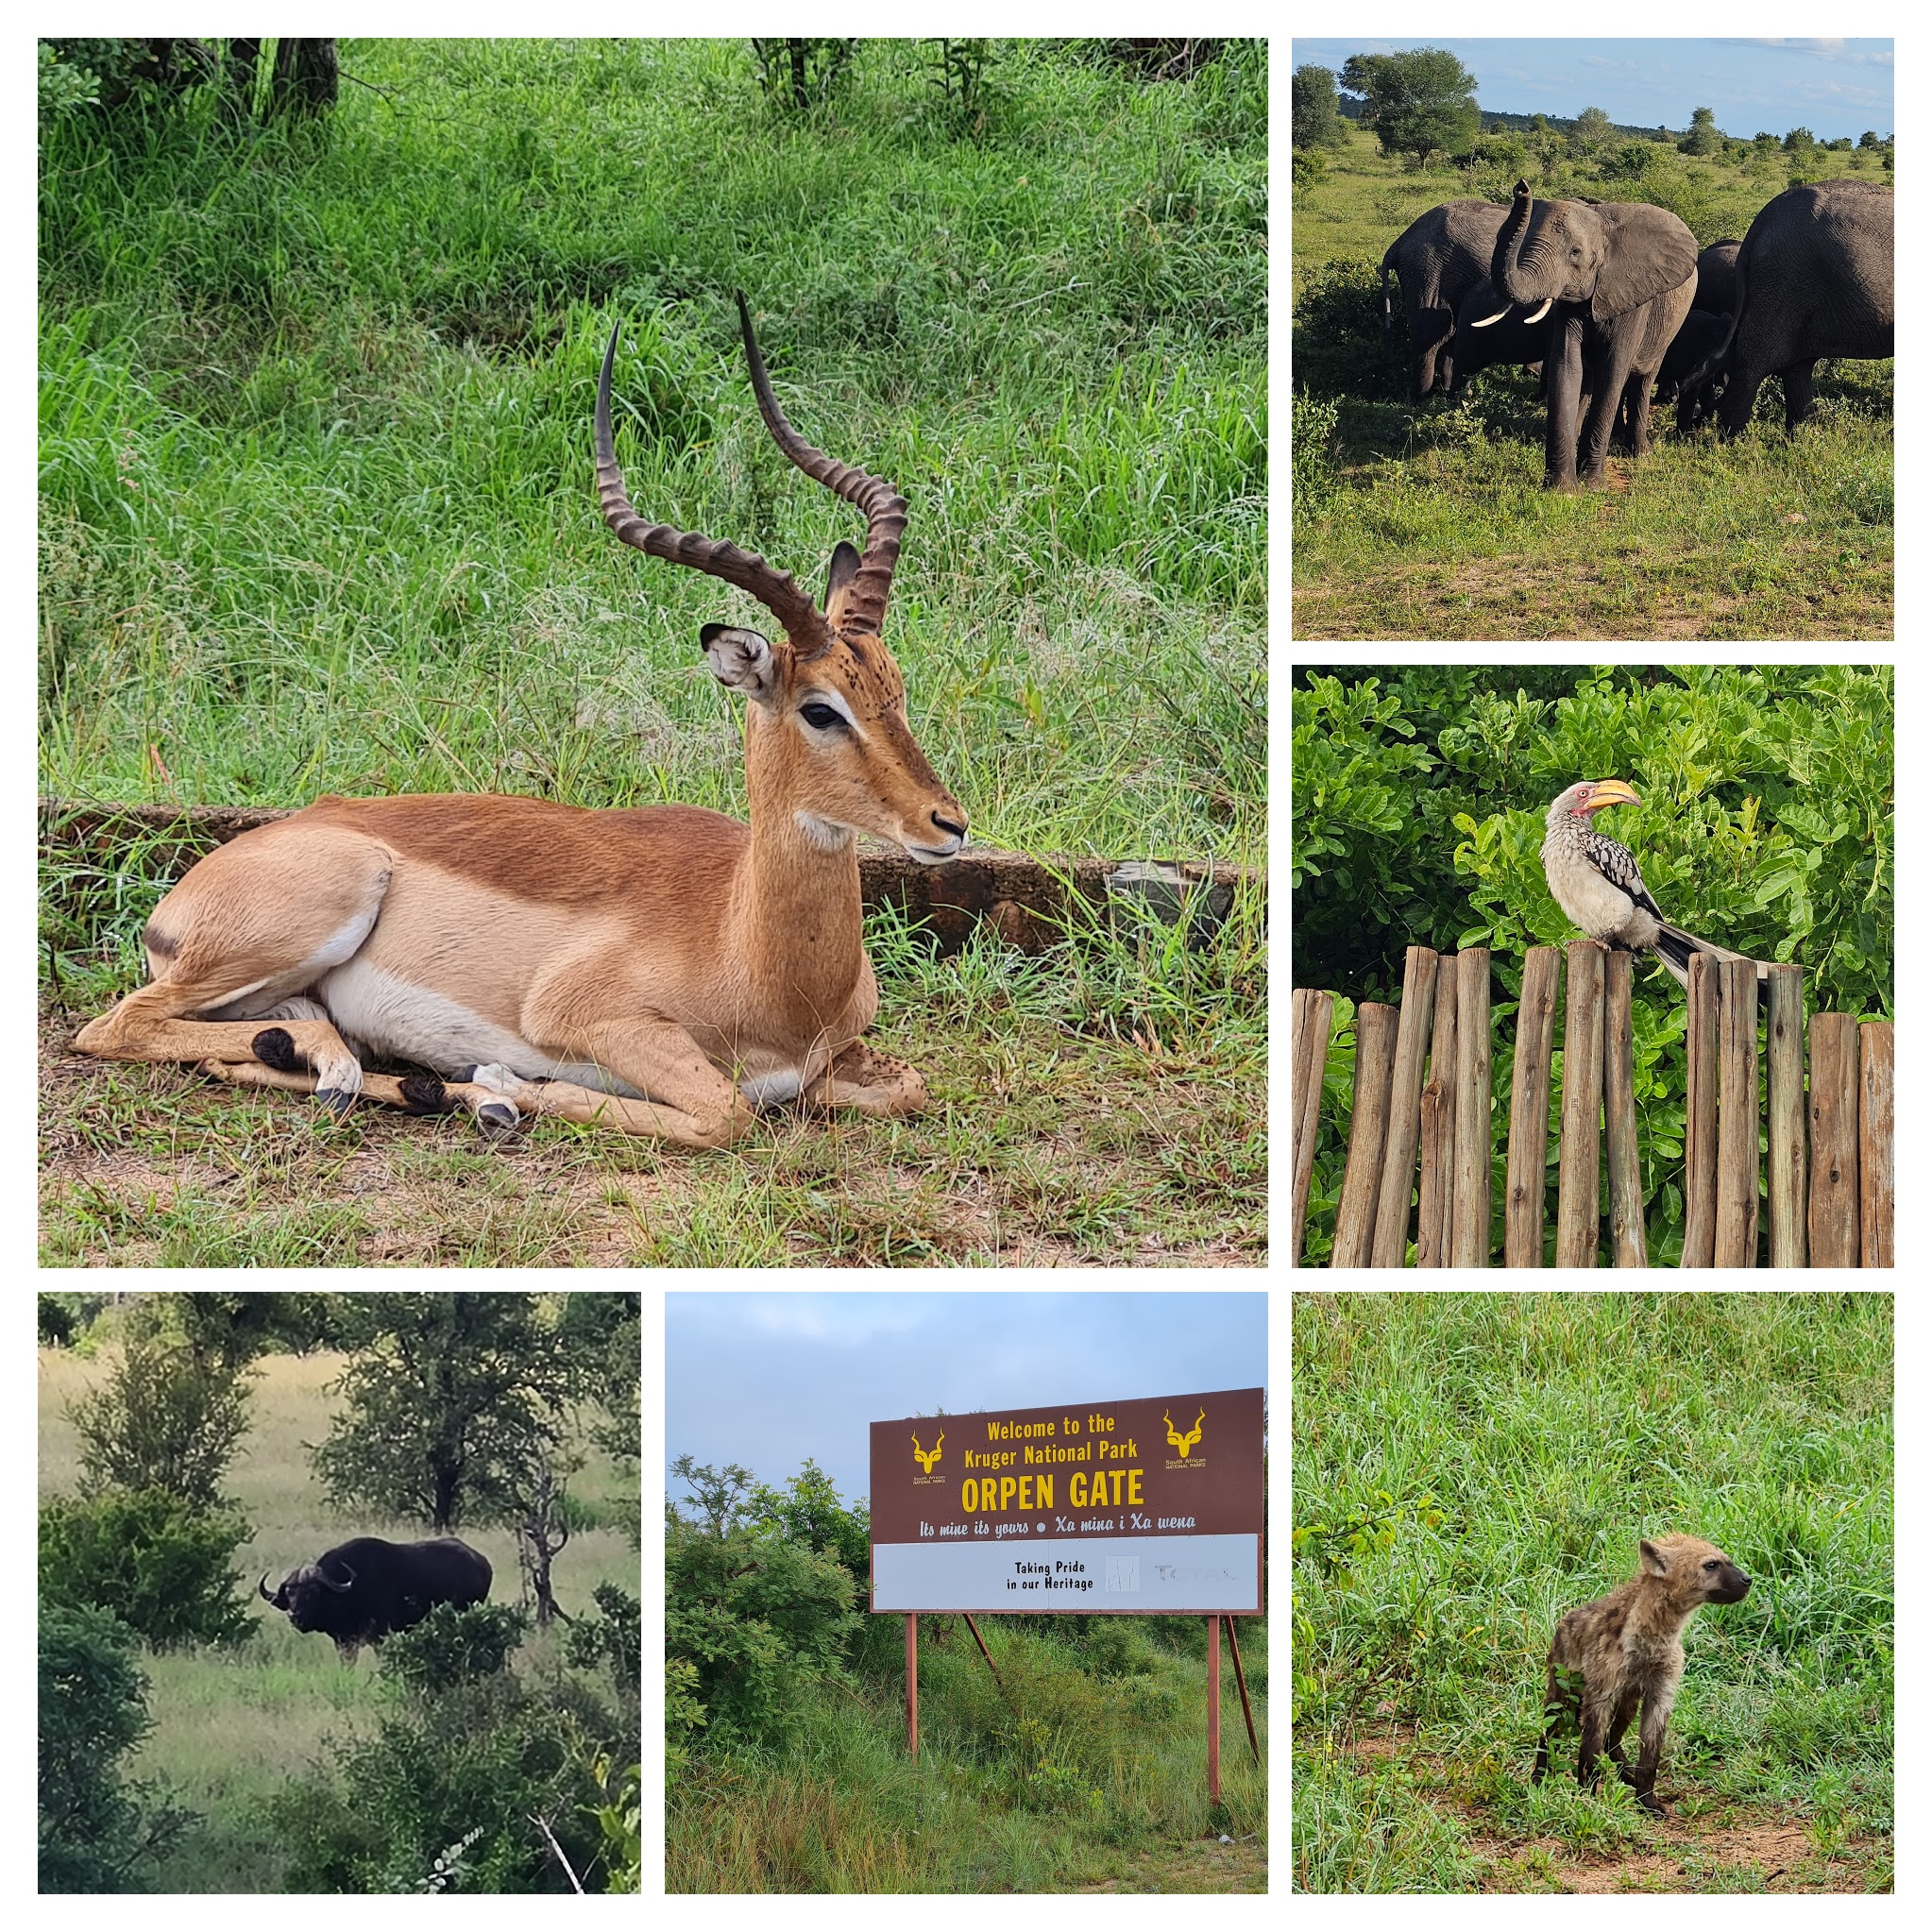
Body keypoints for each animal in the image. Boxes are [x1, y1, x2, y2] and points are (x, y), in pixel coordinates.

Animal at [259, 1537, 494, 1661]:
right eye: (290, 1593)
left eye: (313, 1592)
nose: (294, 1615)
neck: (349, 1593)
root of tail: (482, 1563)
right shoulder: (344, 1642)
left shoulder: (379, 1636)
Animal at [1476, 178, 1692, 486]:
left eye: (1575, 253)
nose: (1521, 187)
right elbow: (1567, 367)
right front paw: (1563, 488)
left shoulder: (1632, 297)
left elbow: (1612, 371)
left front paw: (1592, 484)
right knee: (1590, 378)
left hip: (1668, 327)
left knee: (1642, 379)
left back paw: (1640, 452)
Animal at [1700, 180, 1893, 434]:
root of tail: (1760, 223)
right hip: (1782, 280)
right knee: (1754, 363)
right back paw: (1732, 440)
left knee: (1797, 366)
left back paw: (1802, 437)